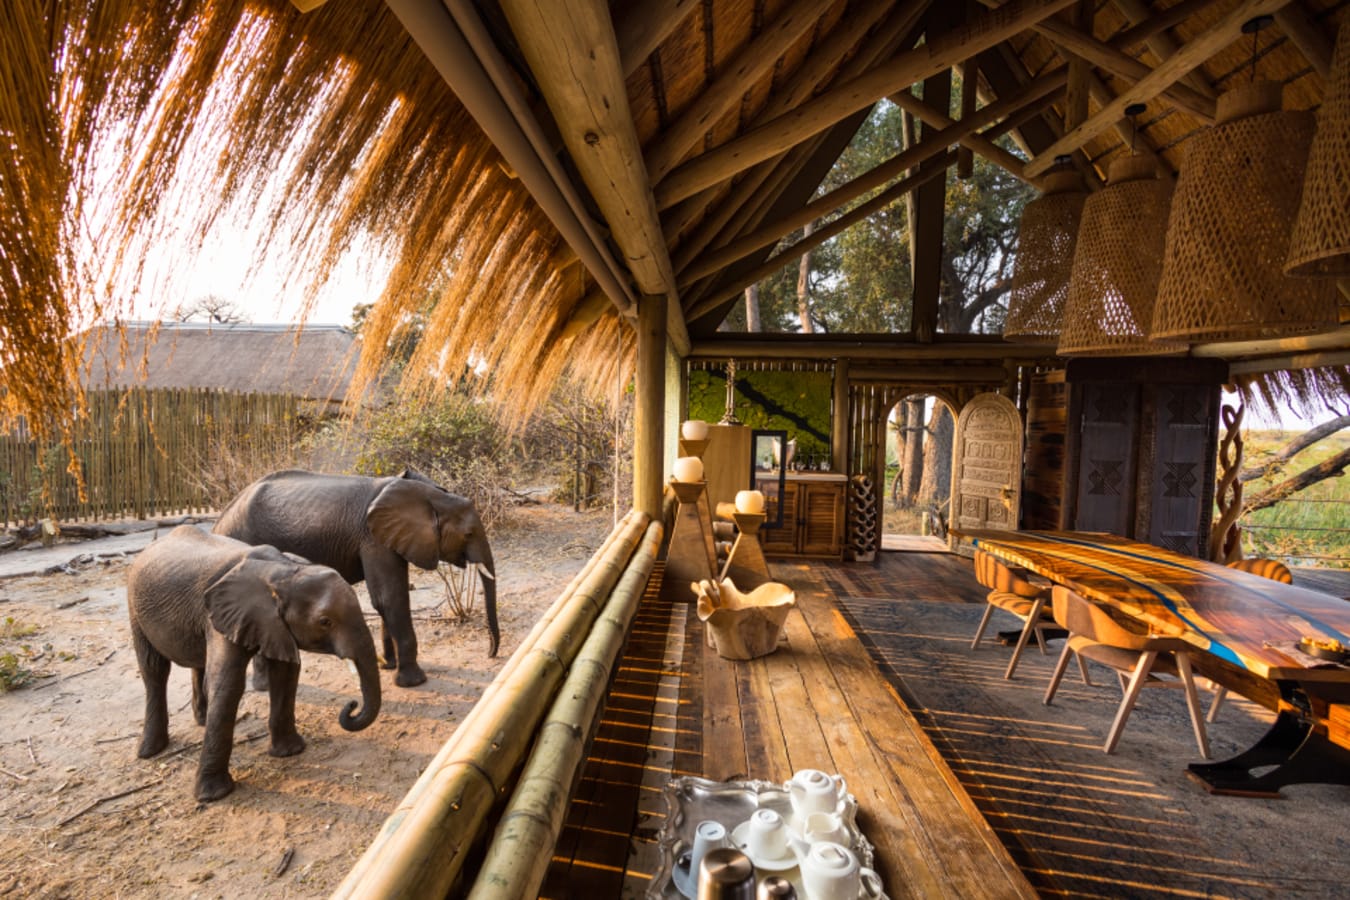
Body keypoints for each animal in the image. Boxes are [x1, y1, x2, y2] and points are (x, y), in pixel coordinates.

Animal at [127, 525, 381, 802]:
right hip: (134, 607)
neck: (282, 571)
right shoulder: (221, 614)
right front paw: (213, 796)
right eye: (325, 622)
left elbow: (286, 673)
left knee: (197, 661)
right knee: (154, 670)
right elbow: (228, 684)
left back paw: (201, 722)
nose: (352, 705)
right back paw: (150, 752)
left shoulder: (271, 624)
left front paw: (290, 752)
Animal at [213, 468, 498, 687]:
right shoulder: (371, 538)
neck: (428, 496)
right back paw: (263, 687)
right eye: (469, 534)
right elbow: (389, 598)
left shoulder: (389, 537)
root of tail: (219, 521)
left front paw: (388, 666)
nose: (490, 654)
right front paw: (414, 682)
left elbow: (388, 598)